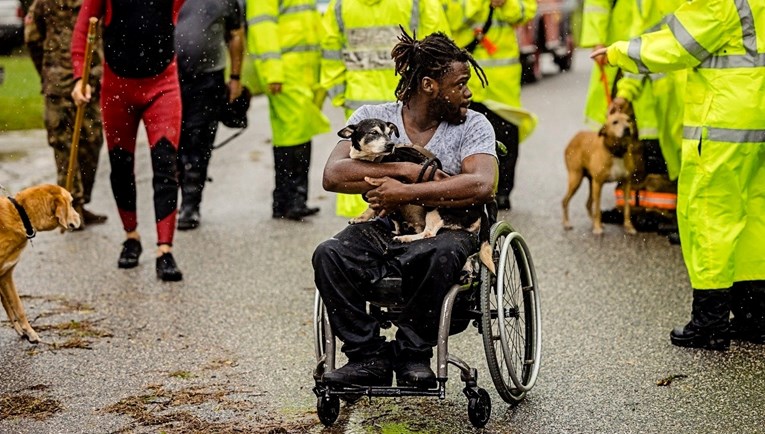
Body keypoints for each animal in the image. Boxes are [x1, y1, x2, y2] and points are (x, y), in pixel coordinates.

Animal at [0, 183, 81, 342]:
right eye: (71, 203)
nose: (80, 218)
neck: (18, 214)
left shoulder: (5, 276)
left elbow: (16, 307)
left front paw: (27, 332)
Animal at [336, 119, 492, 272]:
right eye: (373, 132)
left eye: (389, 133)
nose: (390, 145)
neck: (374, 160)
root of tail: (481, 212)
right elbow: (391, 218)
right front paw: (390, 227)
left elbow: (374, 206)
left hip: (437, 207)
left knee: (428, 233)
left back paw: (405, 238)